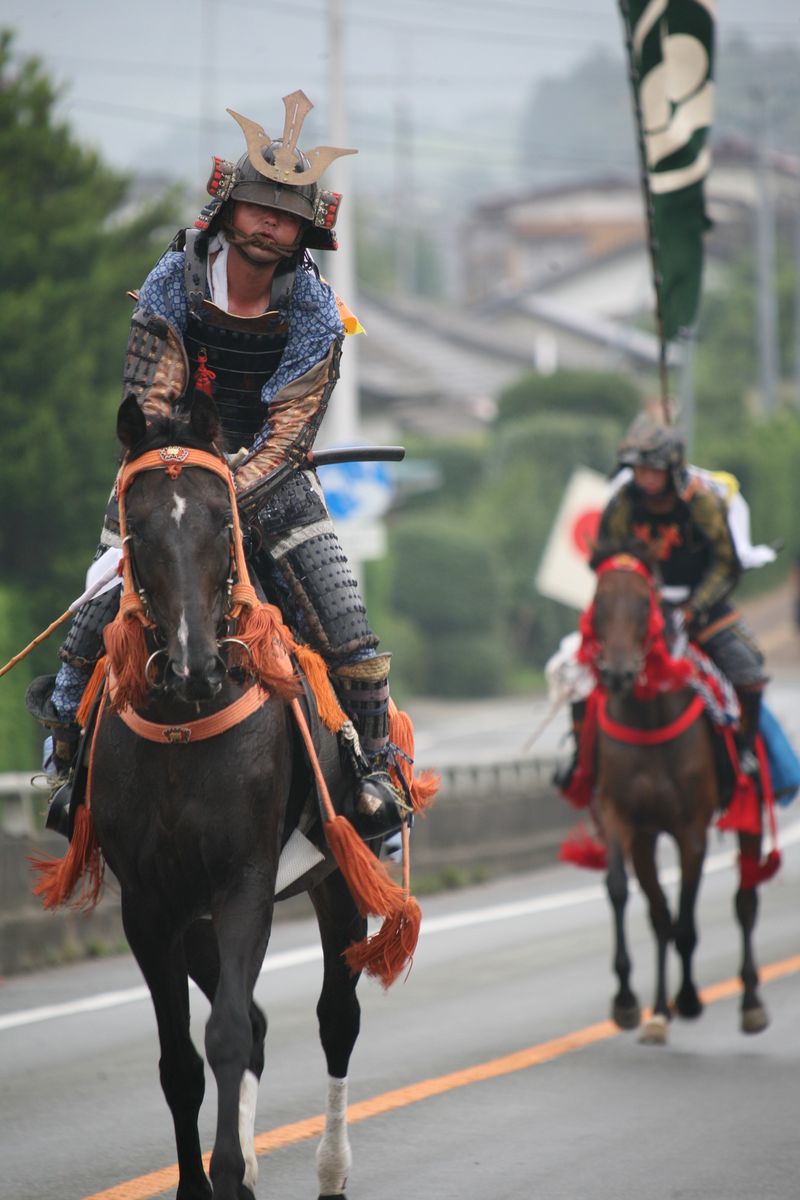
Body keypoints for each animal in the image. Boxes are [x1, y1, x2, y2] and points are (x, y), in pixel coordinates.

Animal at [587, 544, 767, 1041]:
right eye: (598, 603)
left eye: (644, 602)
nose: (619, 673)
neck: (649, 714)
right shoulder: (624, 817)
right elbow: (630, 896)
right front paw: (633, 1003)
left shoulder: (692, 828)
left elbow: (686, 918)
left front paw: (686, 999)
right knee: (663, 913)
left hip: (748, 810)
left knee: (745, 900)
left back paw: (750, 1000)